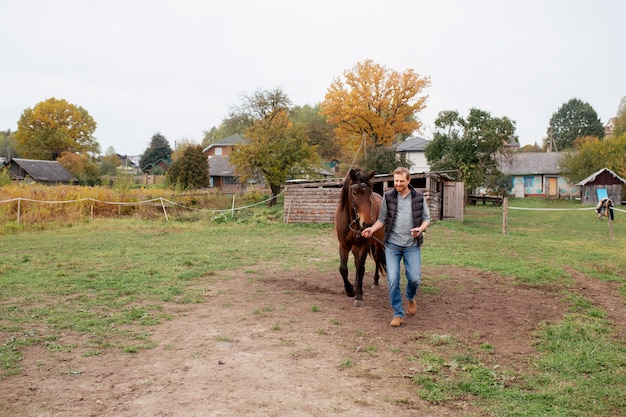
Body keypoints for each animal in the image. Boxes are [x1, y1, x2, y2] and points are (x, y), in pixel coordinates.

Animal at [332, 167, 386, 306]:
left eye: (369, 192)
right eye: (355, 192)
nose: (367, 223)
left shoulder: (364, 245)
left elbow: (361, 269)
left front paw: (359, 297)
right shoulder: (343, 245)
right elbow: (343, 269)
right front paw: (350, 290)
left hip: (378, 242)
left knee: (377, 258)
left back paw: (375, 283)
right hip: (354, 247)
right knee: (356, 263)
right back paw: (356, 286)